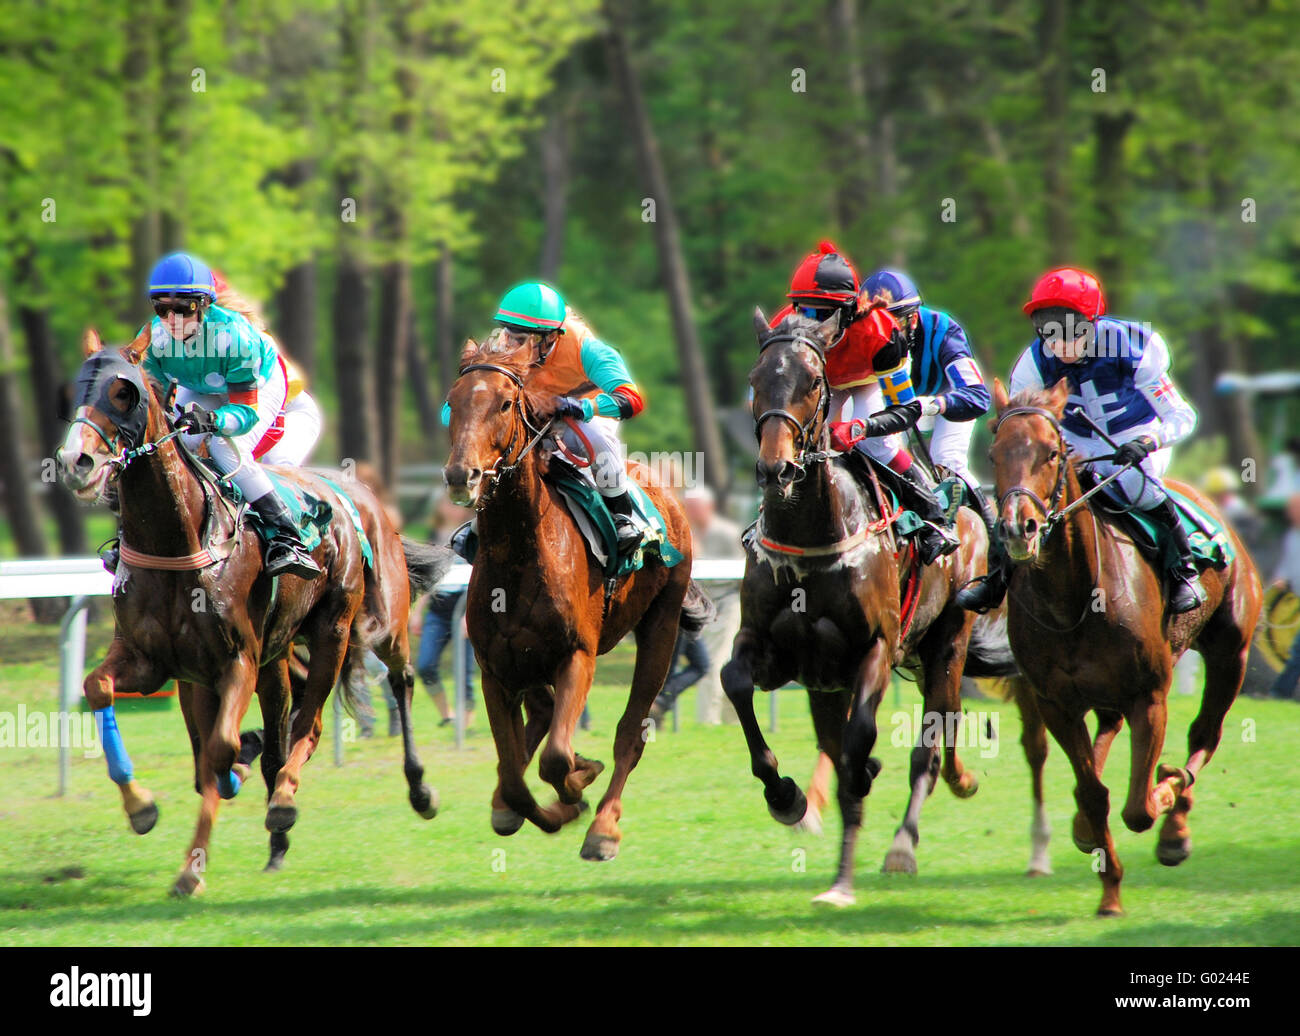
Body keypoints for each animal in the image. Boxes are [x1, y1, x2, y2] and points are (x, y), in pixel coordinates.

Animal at [58, 327, 447, 894]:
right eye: (76, 389)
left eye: (123, 392)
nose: (75, 463)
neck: (180, 539)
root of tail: (355, 492)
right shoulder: (158, 661)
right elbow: (101, 690)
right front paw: (142, 807)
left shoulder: (236, 658)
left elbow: (219, 749)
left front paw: (192, 867)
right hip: (280, 653)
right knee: (295, 719)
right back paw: (274, 824)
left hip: (359, 626)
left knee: (379, 689)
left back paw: (389, 791)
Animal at [439, 335, 707, 863]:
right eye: (453, 402)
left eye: (505, 403)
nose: (463, 476)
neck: (521, 555)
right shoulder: (495, 668)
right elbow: (515, 778)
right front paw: (542, 803)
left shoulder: (576, 655)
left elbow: (556, 759)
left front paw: (577, 792)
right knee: (539, 722)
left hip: (661, 625)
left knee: (629, 733)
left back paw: (603, 827)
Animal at [722, 309, 1013, 904]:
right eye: (754, 378)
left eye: (813, 382)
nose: (774, 470)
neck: (811, 537)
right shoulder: (773, 651)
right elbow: (735, 682)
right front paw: (784, 795)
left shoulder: (875, 647)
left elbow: (862, 743)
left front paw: (865, 772)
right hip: (827, 685)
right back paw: (840, 877)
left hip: (946, 645)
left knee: (931, 743)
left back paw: (902, 843)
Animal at [982, 379, 1258, 915]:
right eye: (993, 454)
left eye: (1051, 453)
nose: (1017, 529)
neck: (1073, 601)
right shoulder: (1056, 703)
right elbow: (1094, 793)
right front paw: (1109, 889)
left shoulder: (1148, 697)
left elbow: (1139, 807)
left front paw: (1164, 796)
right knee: (1106, 737)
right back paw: (1087, 826)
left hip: (1230, 652)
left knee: (1204, 735)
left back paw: (1175, 823)